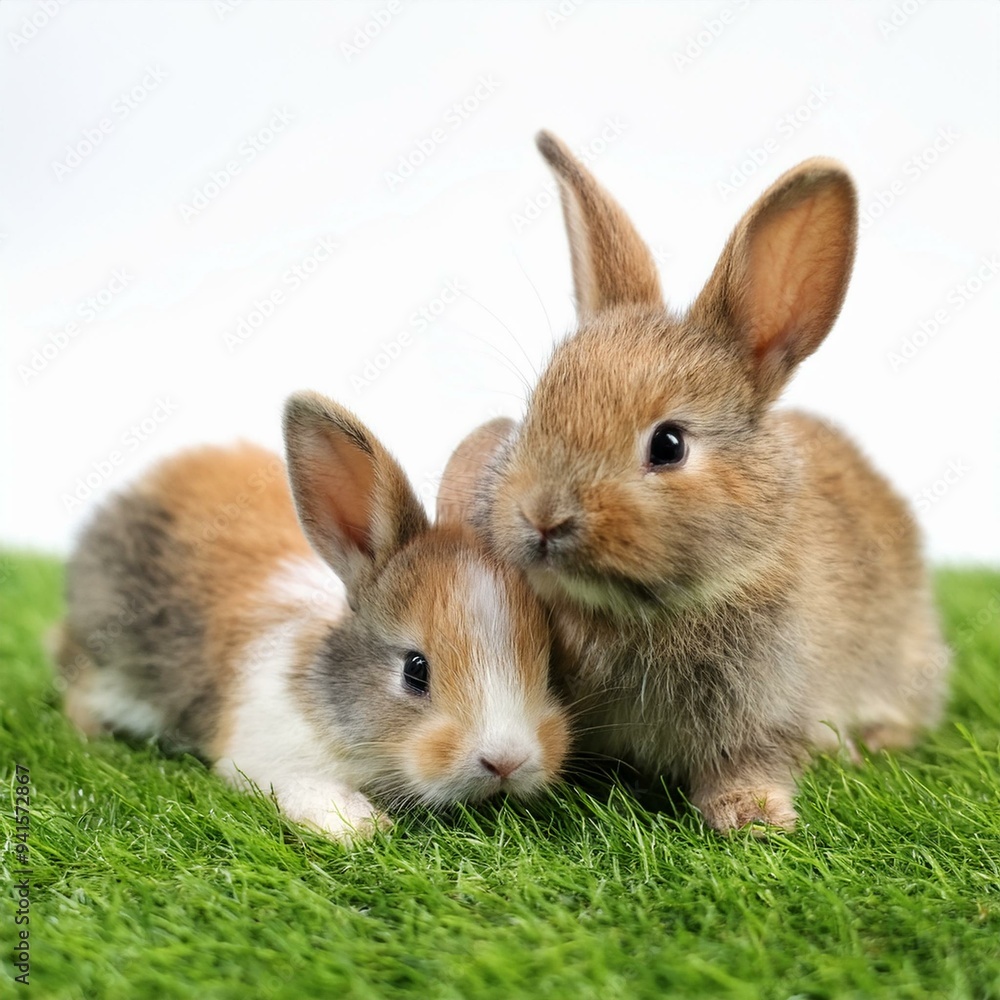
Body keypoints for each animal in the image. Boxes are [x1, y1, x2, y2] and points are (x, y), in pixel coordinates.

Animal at [58, 390, 570, 843]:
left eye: (549, 667)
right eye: (415, 671)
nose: (507, 761)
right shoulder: (266, 753)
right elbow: (304, 786)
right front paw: (356, 826)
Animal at [437, 131, 950, 834]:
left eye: (669, 444)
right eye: (534, 413)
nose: (542, 516)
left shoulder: (768, 706)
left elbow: (751, 760)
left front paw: (753, 818)